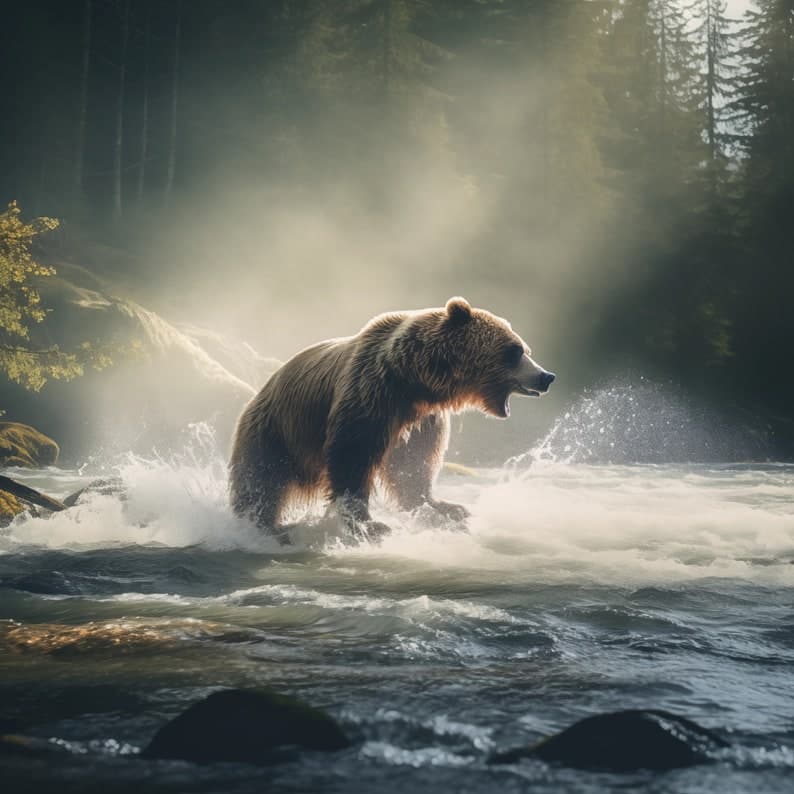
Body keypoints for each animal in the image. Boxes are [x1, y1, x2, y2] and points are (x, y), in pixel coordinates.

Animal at [228, 297, 555, 540]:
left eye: (525, 349)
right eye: (514, 351)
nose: (546, 376)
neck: (415, 381)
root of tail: (258, 393)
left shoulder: (423, 420)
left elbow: (414, 463)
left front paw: (445, 507)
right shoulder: (371, 395)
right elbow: (352, 453)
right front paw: (369, 523)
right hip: (274, 432)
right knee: (262, 479)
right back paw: (261, 524)